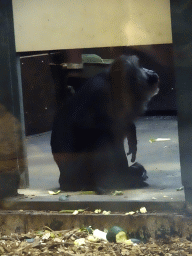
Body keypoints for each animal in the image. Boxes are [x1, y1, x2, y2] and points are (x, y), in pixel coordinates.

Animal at [50, 55, 159, 192]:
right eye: (140, 67)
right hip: (77, 175)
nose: (149, 70)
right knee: (103, 136)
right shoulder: (99, 90)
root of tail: (63, 182)